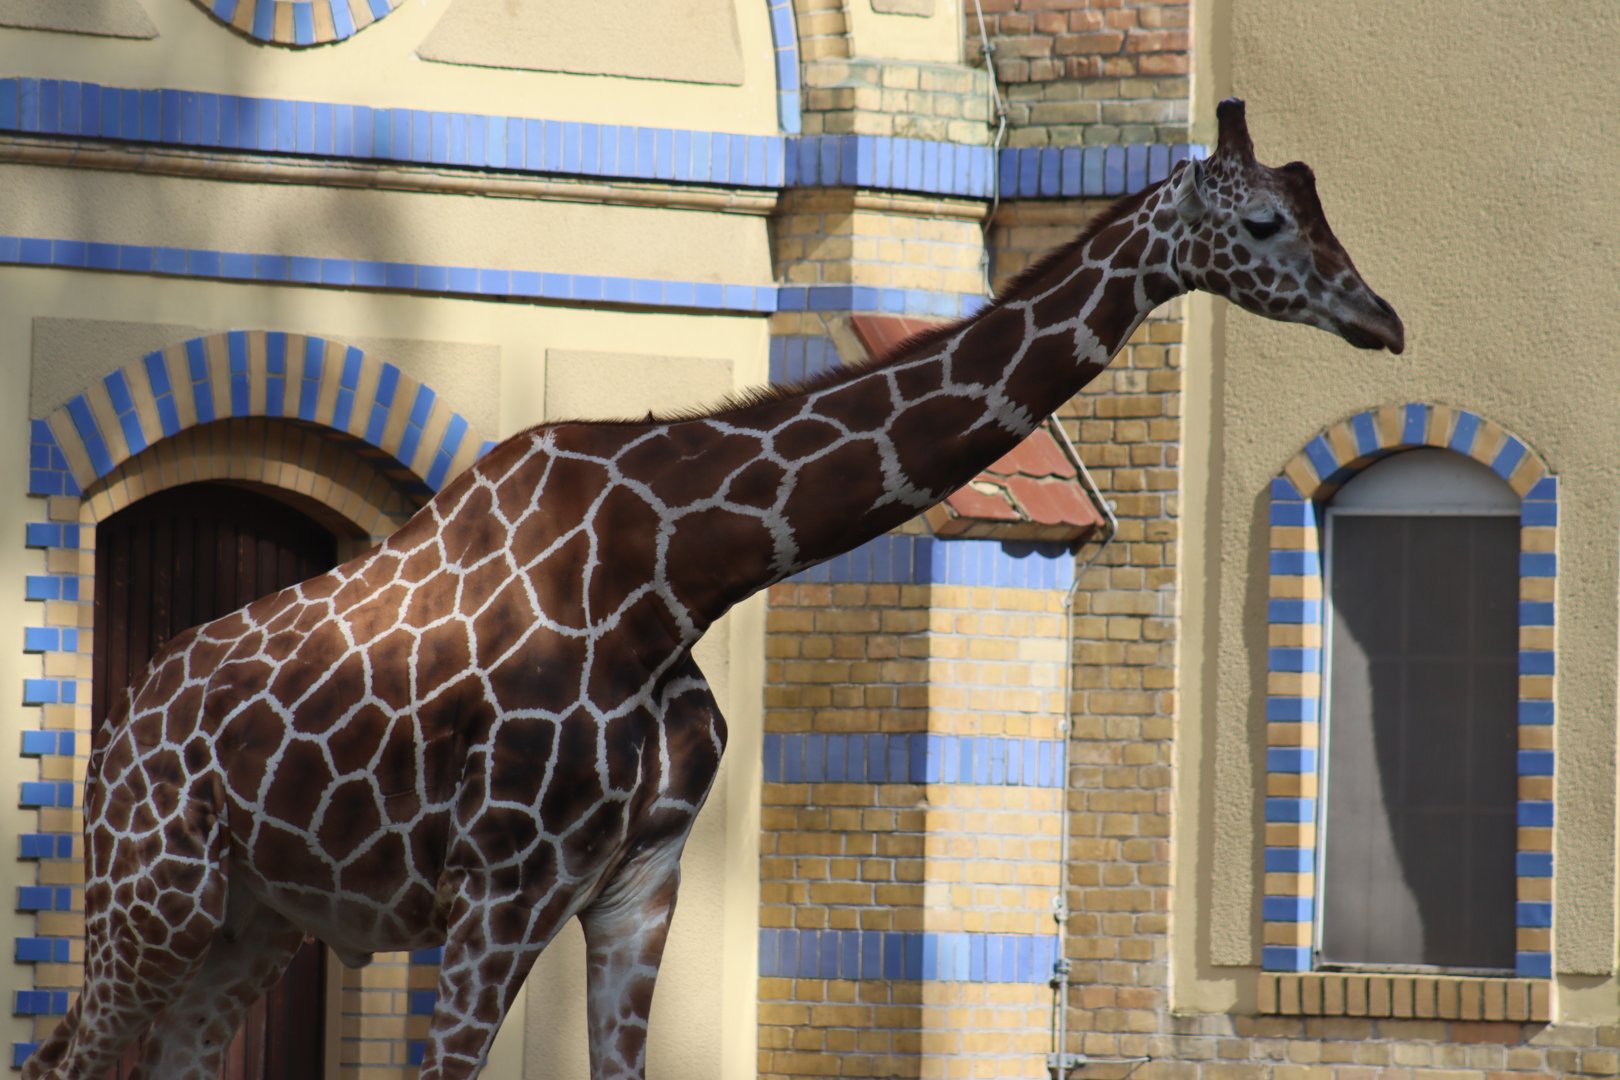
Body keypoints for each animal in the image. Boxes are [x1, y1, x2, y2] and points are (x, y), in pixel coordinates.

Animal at [26, 98, 1402, 1080]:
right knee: (64, 1058)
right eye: (1266, 226)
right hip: (153, 893)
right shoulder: (495, 890)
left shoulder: (639, 886)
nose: (1382, 318)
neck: (670, 578)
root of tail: (122, 725)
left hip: (250, 920)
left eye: (1323, 207)